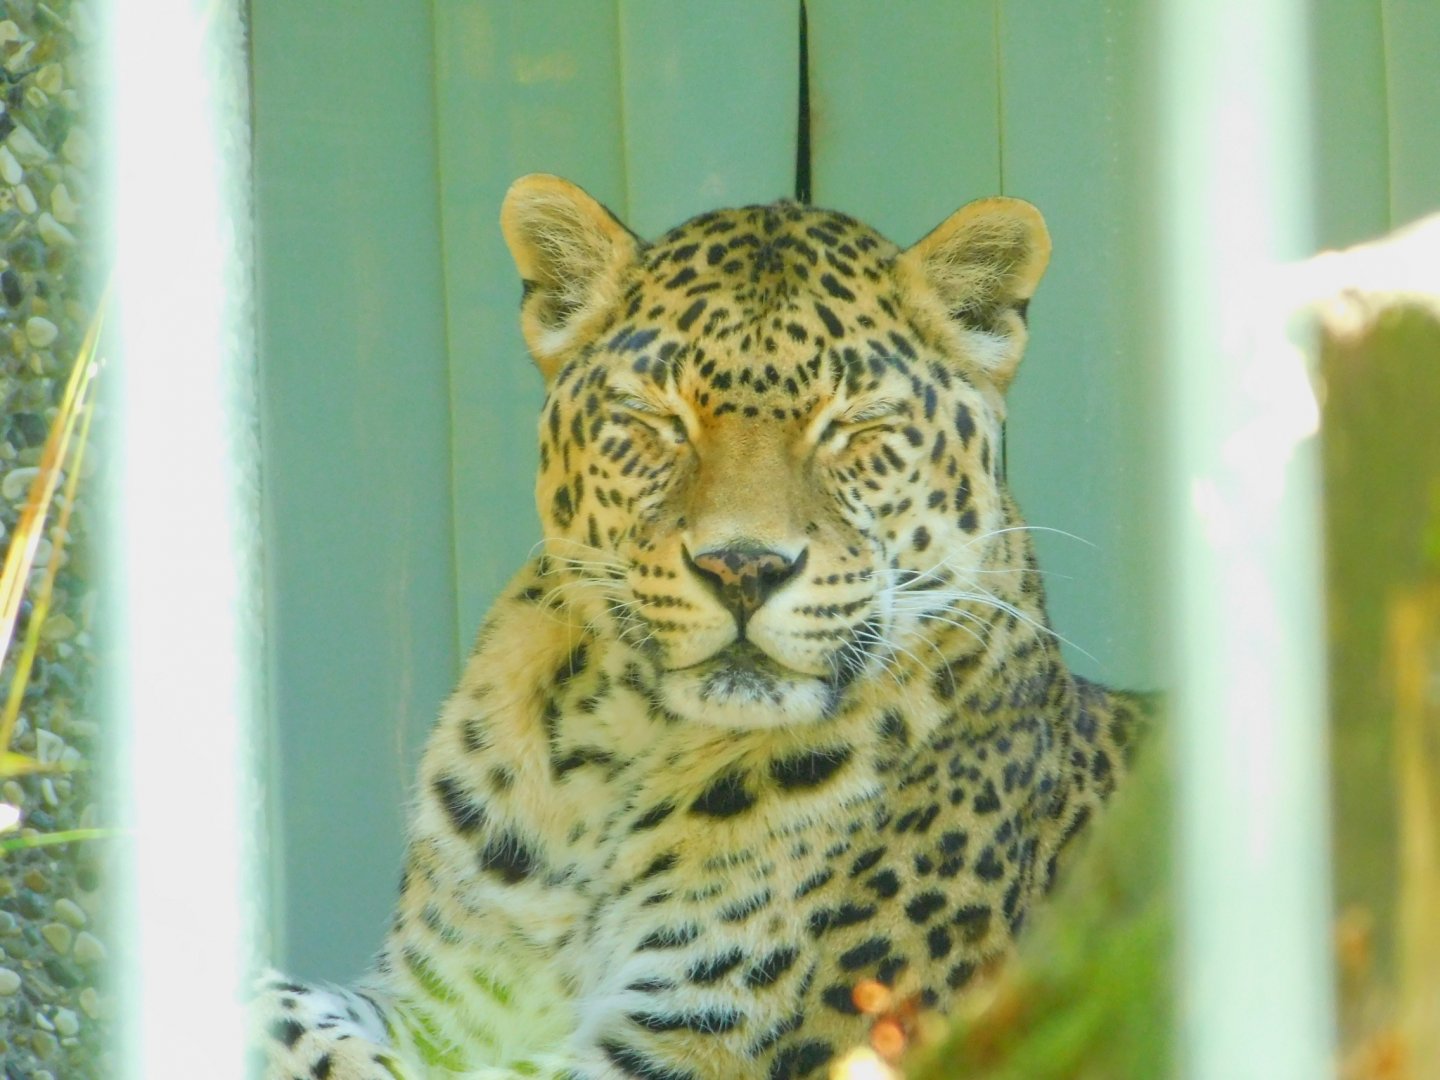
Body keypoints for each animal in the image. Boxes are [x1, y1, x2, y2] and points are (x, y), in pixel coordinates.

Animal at [256, 174, 1149, 1080]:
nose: (743, 567)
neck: (611, 767)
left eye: (853, 426)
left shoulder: (701, 1052)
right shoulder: (444, 1005)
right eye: (656, 418)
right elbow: (285, 1005)